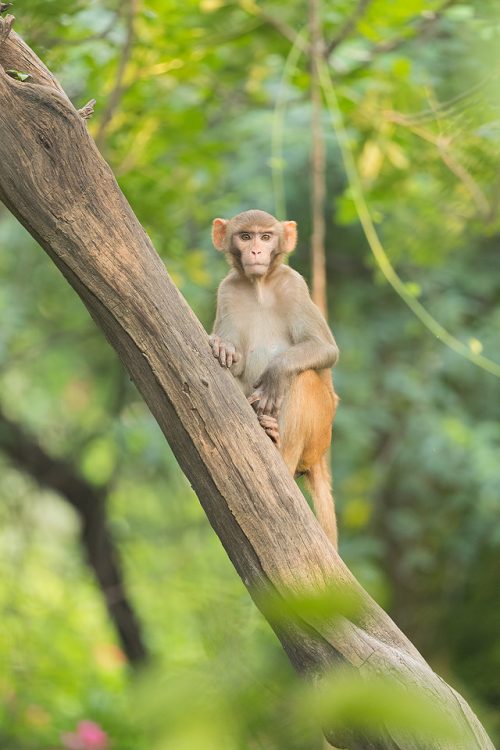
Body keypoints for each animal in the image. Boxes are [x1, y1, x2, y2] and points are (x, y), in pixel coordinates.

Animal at [207, 209, 340, 548]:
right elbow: (234, 363)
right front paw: (224, 347)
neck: (259, 286)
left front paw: (277, 372)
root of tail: (323, 453)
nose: (256, 252)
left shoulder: (295, 285)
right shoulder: (227, 291)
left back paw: (278, 445)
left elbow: (325, 349)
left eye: (266, 237)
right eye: (245, 236)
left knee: (305, 380)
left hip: (321, 427)